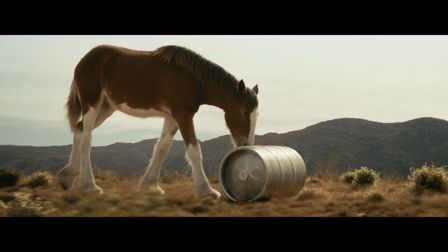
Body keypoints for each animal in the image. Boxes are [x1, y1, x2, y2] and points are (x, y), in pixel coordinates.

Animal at [56, 44, 260, 200]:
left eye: (256, 115)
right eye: (245, 111)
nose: (246, 145)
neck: (191, 78)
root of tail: (85, 59)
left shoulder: (172, 117)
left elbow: (162, 148)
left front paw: (149, 186)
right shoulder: (183, 115)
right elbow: (194, 152)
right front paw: (207, 191)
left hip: (106, 108)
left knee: (79, 130)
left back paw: (67, 177)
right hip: (91, 104)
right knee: (86, 140)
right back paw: (89, 186)